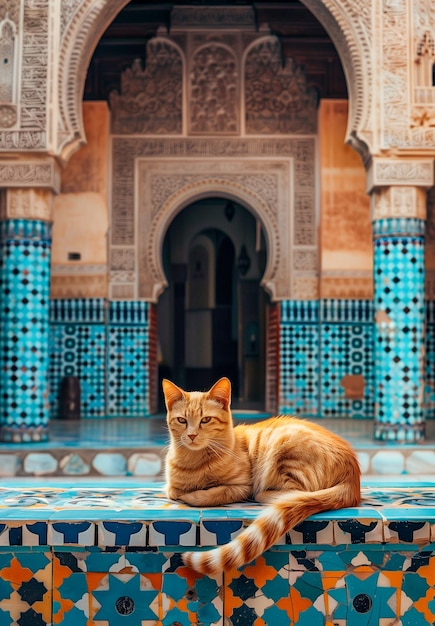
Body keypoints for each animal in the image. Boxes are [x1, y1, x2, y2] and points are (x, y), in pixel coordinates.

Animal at [164, 376, 362, 576]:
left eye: (205, 420)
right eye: (181, 420)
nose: (191, 435)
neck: (195, 461)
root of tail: (353, 476)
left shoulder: (242, 486)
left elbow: (212, 494)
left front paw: (194, 495)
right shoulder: (171, 488)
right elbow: (174, 490)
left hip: (283, 448)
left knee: (296, 493)